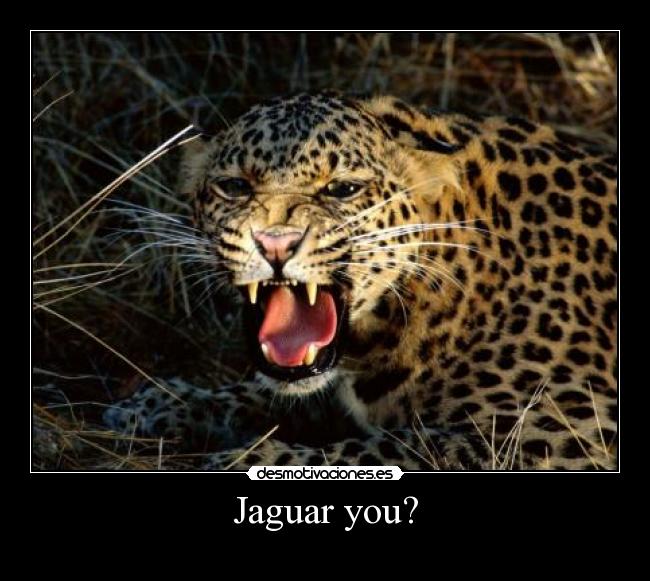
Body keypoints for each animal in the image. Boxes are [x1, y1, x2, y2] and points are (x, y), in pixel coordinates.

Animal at [104, 91, 618, 470]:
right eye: (235, 187)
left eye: (342, 189)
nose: (274, 244)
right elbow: (264, 392)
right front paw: (160, 404)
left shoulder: (567, 427)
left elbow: (408, 447)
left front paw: (250, 459)